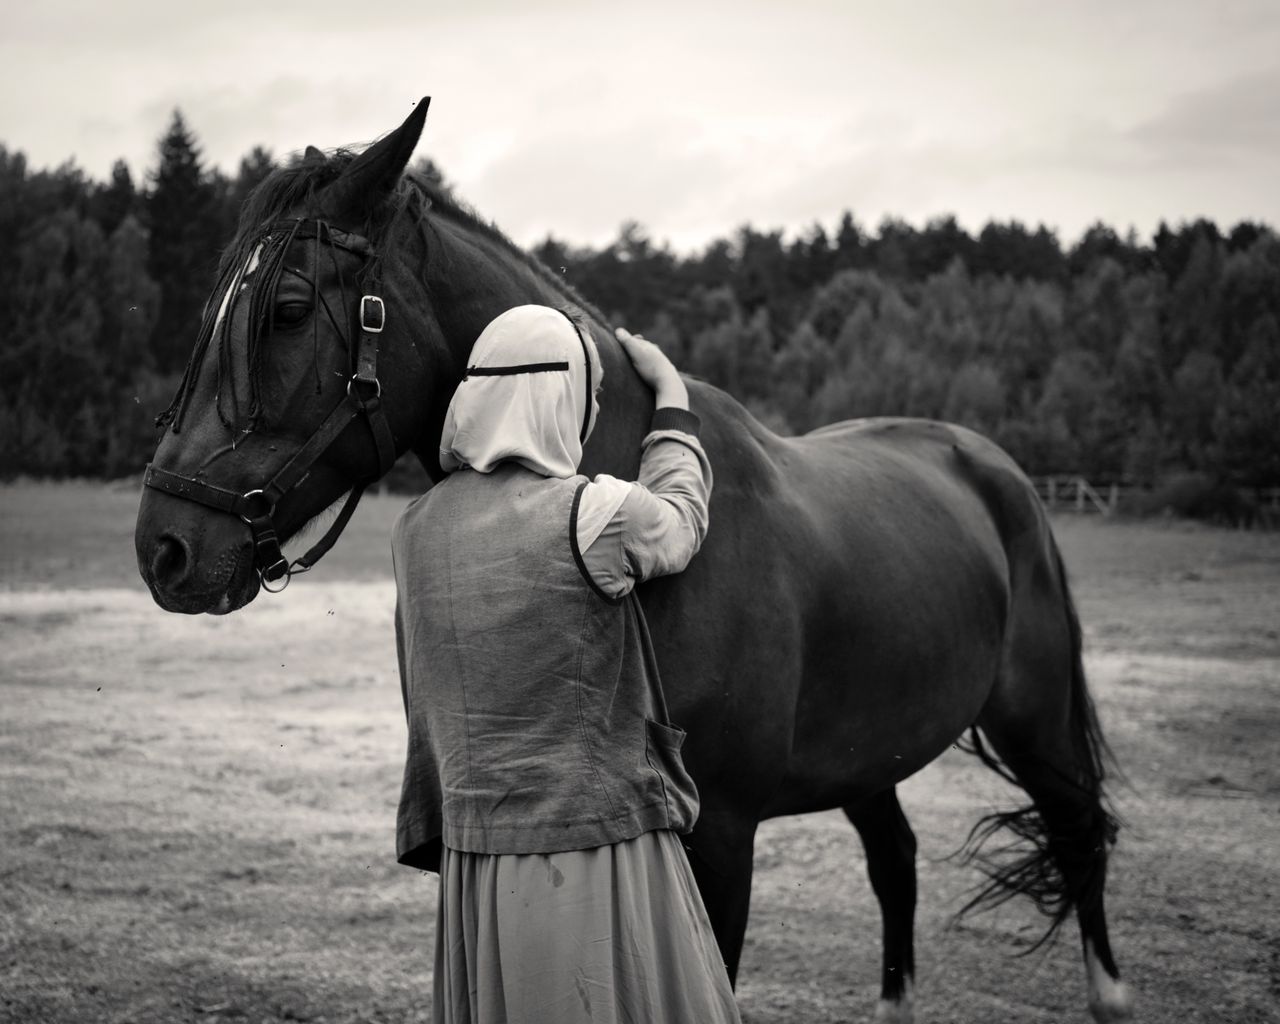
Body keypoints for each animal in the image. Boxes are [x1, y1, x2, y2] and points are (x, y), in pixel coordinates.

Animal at [135, 97, 1136, 1024]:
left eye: (288, 310)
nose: (164, 548)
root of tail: (990, 464)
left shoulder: (722, 830)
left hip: (1035, 723)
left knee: (1079, 836)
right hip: (871, 753)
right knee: (899, 863)